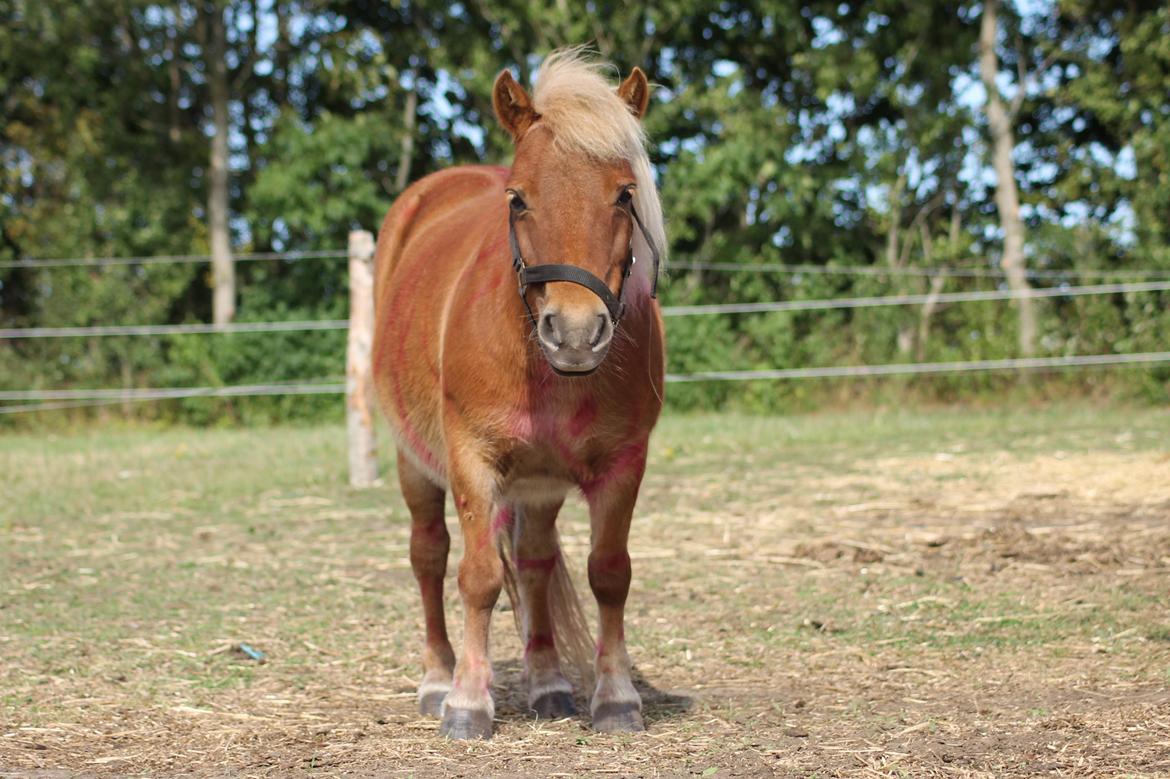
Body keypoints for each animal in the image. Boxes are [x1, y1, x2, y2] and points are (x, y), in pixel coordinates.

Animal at [374, 50, 669, 739]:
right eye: (518, 199)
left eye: (625, 194)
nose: (577, 332)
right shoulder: (471, 461)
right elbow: (478, 577)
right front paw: (466, 702)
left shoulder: (624, 463)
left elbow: (609, 574)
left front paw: (615, 696)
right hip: (413, 462)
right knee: (429, 556)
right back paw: (437, 677)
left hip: (539, 485)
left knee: (534, 565)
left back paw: (547, 683)